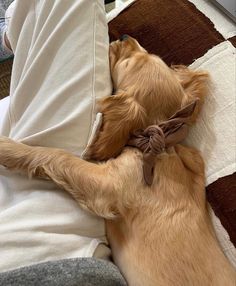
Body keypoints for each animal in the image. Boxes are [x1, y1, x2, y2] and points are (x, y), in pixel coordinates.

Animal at [0, 36, 235, 284]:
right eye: (147, 53)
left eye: (128, 62)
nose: (124, 37)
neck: (155, 146)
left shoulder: (105, 186)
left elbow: (58, 156)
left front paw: (10, 148)